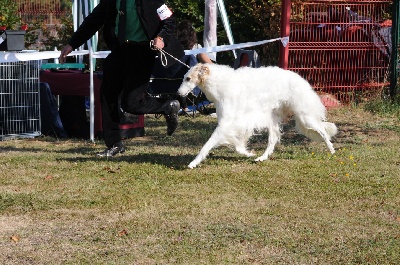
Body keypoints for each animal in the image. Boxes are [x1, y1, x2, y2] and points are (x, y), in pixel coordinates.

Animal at [178, 63, 338, 168]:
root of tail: (300, 78)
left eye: (188, 78)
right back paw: (262, 157)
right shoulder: (234, 124)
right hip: (274, 119)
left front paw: (193, 162)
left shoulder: (226, 123)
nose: (178, 94)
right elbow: (238, 145)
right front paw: (248, 153)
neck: (220, 83)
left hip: (305, 118)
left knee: (323, 132)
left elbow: (207, 145)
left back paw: (332, 151)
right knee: (272, 141)